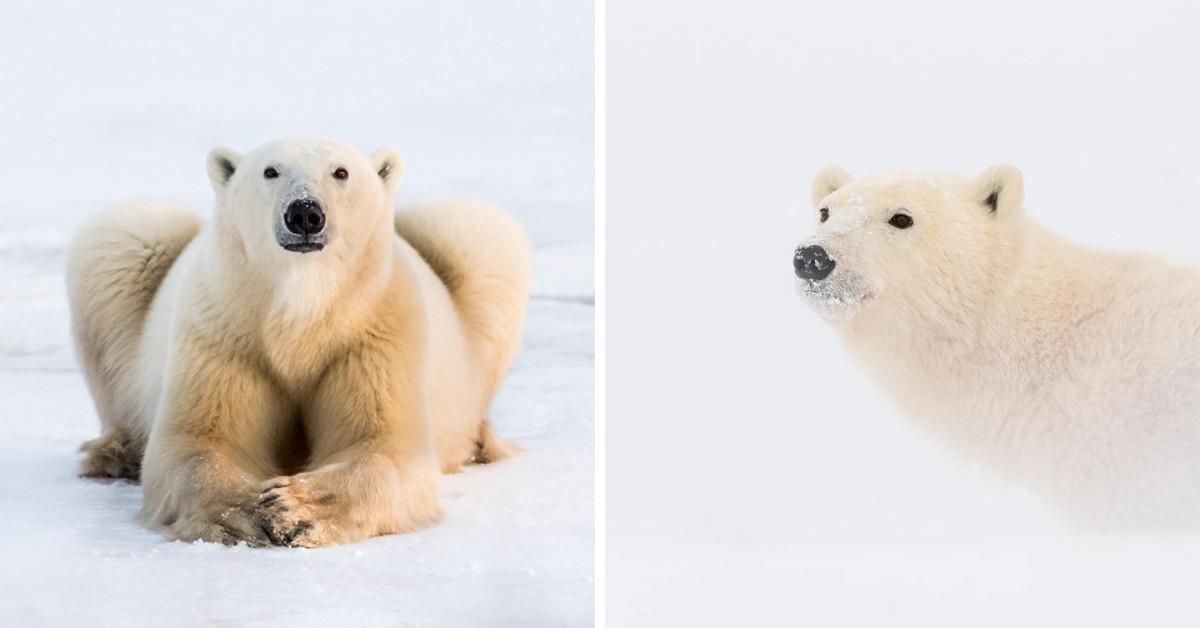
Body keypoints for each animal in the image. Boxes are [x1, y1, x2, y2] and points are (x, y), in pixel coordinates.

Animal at [65, 136, 530, 545]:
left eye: (341, 172)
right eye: (270, 171)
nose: (305, 212)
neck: (300, 309)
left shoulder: (372, 331)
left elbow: (384, 445)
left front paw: (295, 508)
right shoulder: (226, 331)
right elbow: (198, 442)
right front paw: (245, 513)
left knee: (473, 231)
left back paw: (481, 441)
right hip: (133, 258)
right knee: (127, 233)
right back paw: (115, 454)